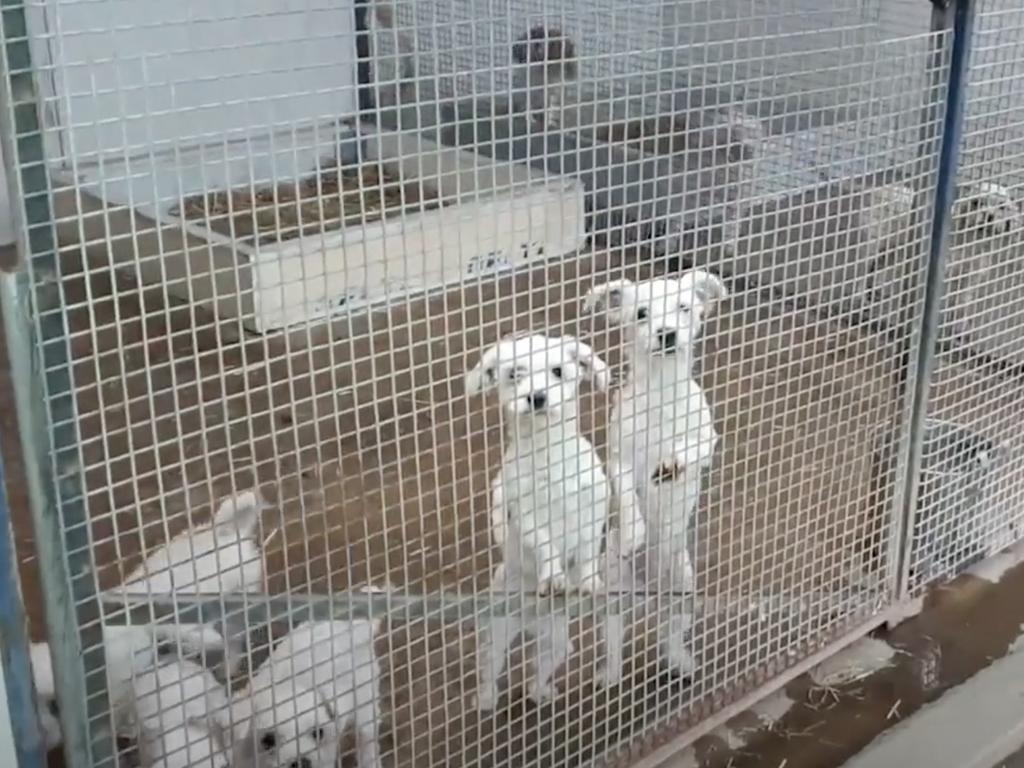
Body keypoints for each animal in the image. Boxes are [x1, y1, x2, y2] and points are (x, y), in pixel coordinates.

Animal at [230, 618, 382, 768]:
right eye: (268, 741)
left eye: (318, 733)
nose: (301, 763)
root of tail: (350, 626)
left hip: (365, 707)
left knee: (367, 739)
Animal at [466, 333, 614, 708]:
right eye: (514, 375)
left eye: (558, 371)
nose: (537, 397)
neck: (550, 455)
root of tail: (531, 625)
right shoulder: (526, 518)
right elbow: (546, 544)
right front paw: (554, 576)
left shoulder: (594, 511)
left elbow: (588, 551)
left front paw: (588, 579)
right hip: (497, 632)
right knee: (490, 667)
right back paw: (486, 700)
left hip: (556, 640)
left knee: (542, 665)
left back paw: (541, 692)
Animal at [585, 270, 729, 684]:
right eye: (641, 314)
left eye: (684, 308)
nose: (667, 334)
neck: (663, 393)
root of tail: (649, 592)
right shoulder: (618, 460)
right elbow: (626, 493)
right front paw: (634, 531)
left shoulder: (707, 441)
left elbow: (691, 450)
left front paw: (671, 461)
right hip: (612, 590)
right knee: (614, 639)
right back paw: (610, 675)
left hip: (683, 583)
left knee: (672, 633)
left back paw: (681, 662)